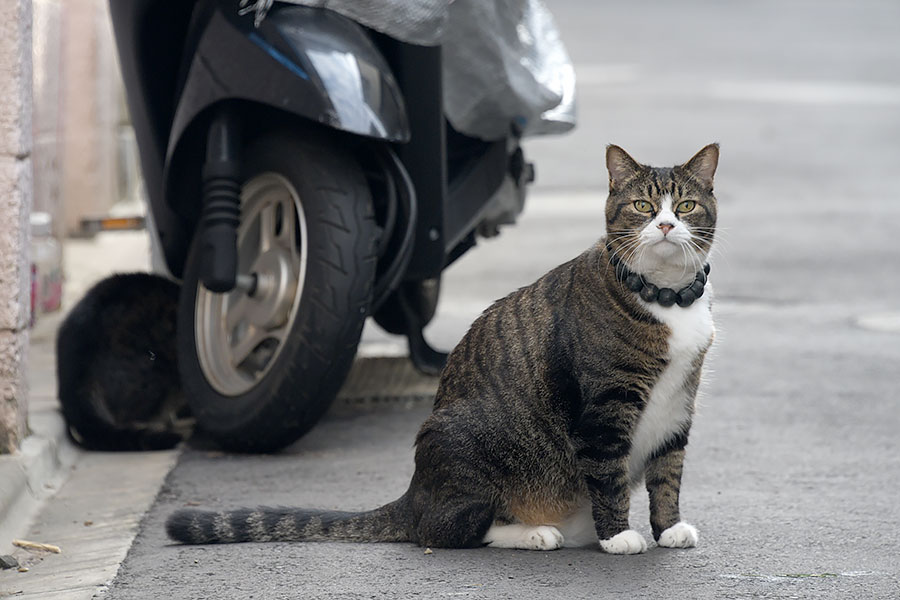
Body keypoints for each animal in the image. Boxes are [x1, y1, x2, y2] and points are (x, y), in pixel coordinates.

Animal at [165, 144, 720, 552]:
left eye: (685, 206)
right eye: (643, 206)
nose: (666, 225)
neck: (665, 296)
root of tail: (415, 493)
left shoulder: (678, 406)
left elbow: (668, 472)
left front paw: (668, 528)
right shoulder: (605, 407)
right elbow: (607, 475)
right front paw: (619, 536)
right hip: (471, 452)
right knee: (449, 531)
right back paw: (534, 532)